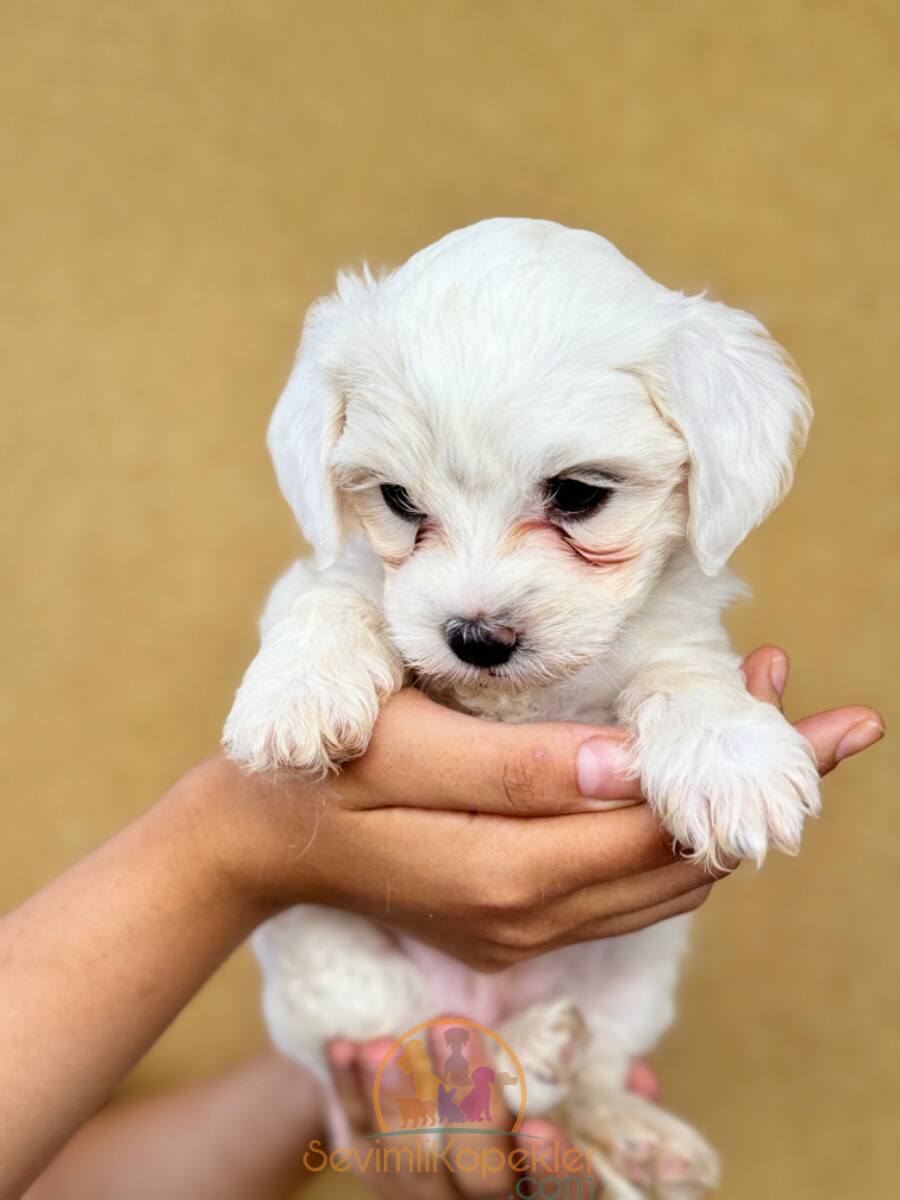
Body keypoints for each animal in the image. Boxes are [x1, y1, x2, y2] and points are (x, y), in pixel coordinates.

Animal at [222, 220, 820, 1195]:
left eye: (577, 494)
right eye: (398, 500)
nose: (474, 635)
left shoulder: (673, 633)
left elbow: (683, 676)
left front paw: (732, 758)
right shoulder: (339, 577)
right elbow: (336, 598)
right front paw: (296, 695)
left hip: (631, 982)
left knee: (575, 1084)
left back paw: (613, 1118)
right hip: (336, 974)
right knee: (428, 1087)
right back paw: (515, 1054)